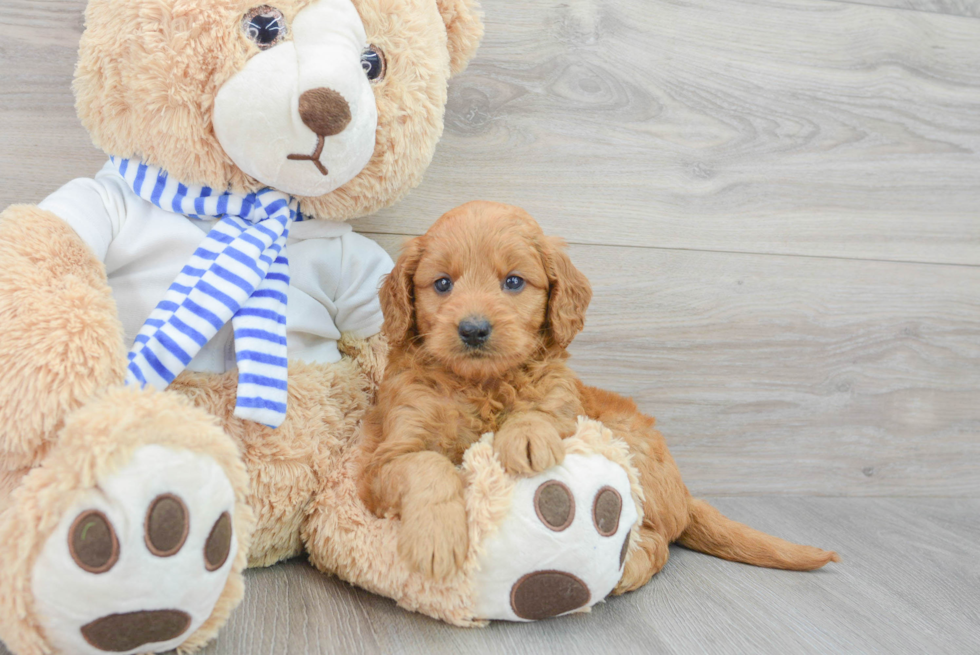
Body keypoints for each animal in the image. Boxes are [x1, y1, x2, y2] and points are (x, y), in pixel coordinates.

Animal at [356, 202, 840, 588]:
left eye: (513, 282)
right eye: (442, 284)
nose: (473, 329)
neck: (482, 384)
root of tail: (685, 494)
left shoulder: (565, 409)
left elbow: (539, 413)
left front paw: (525, 435)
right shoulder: (387, 457)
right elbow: (429, 465)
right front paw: (436, 538)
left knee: (656, 541)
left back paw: (622, 571)